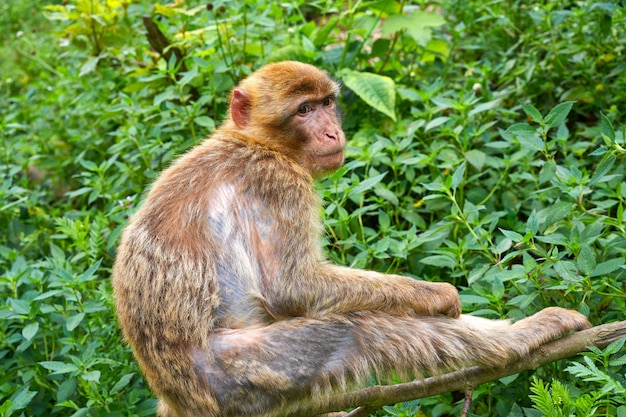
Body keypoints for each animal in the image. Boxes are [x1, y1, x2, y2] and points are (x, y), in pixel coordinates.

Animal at [113, 61, 588, 416]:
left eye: (326, 104)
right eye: (304, 110)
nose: (332, 132)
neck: (256, 142)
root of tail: (177, 395)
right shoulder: (280, 184)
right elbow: (291, 287)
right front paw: (437, 295)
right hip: (241, 374)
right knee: (356, 331)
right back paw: (523, 338)